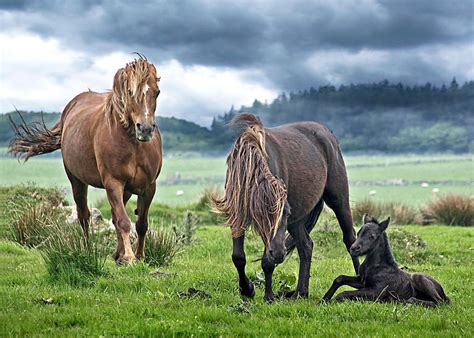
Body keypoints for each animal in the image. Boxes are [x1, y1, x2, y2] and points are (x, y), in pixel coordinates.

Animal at [9, 56, 163, 264]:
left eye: (157, 92)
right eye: (130, 92)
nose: (145, 129)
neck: (134, 146)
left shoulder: (148, 186)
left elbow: (141, 224)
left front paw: (138, 256)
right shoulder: (113, 183)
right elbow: (124, 221)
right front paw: (130, 258)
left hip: (126, 190)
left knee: (115, 216)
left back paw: (117, 254)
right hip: (77, 180)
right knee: (85, 215)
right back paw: (89, 250)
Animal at [212, 113, 360, 302]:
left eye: (286, 214)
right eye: (261, 216)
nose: (279, 254)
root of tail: (327, 133)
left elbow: (267, 262)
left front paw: (268, 296)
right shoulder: (238, 214)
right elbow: (238, 257)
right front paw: (247, 290)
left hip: (338, 199)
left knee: (350, 240)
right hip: (298, 220)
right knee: (306, 247)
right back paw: (300, 293)